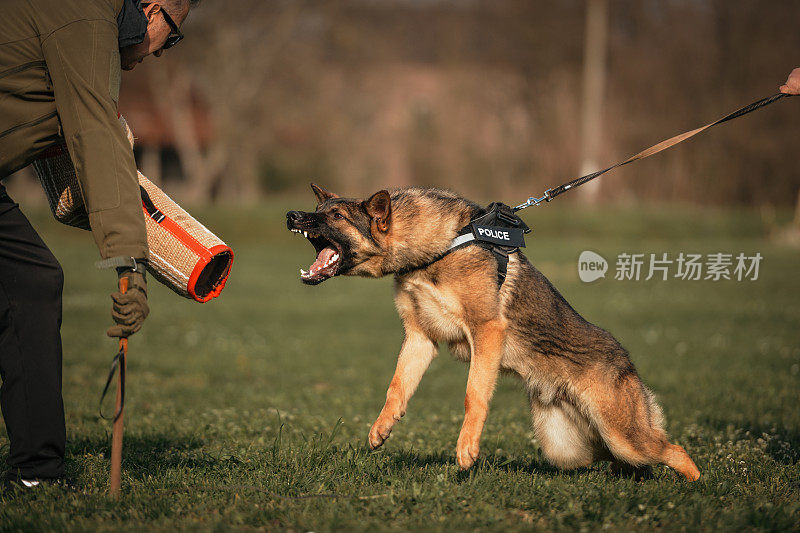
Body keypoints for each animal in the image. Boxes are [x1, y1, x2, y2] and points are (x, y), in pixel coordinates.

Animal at [288, 185, 700, 480]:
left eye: (336, 216)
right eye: (320, 210)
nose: (292, 214)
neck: (436, 250)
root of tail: (626, 360)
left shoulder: (486, 331)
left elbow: (474, 395)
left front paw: (467, 449)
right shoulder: (419, 339)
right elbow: (397, 387)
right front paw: (382, 428)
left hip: (623, 436)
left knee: (672, 450)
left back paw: (696, 485)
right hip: (572, 449)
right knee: (622, 460)